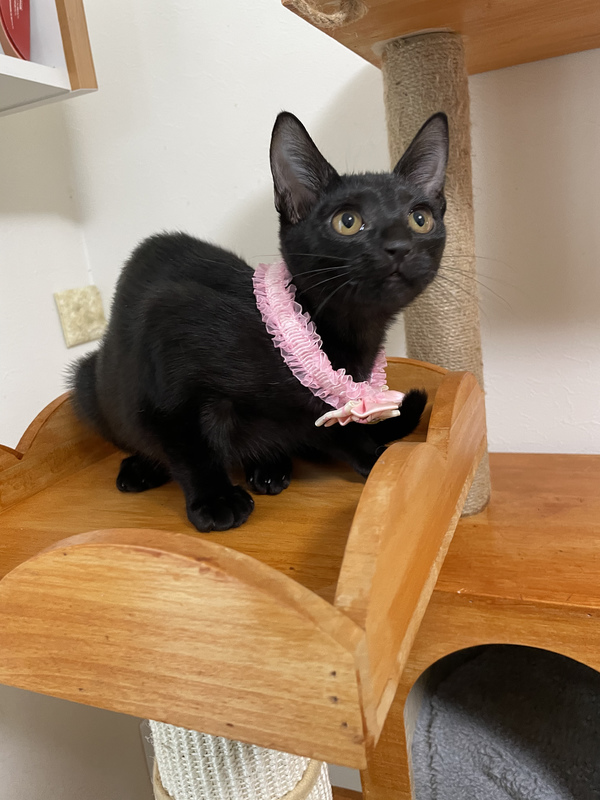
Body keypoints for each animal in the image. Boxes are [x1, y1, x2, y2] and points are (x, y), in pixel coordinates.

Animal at [70, 111, 449, 532]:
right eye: (347, 221)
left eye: (420, 219)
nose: (399, 246)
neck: (346, 336)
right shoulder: (165, 331)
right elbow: (187, 440)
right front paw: (214, 498)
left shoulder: (323, 406)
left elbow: (339, 428)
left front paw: (376, 457)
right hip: (90, 383)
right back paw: (144, 468)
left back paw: (269, 466)